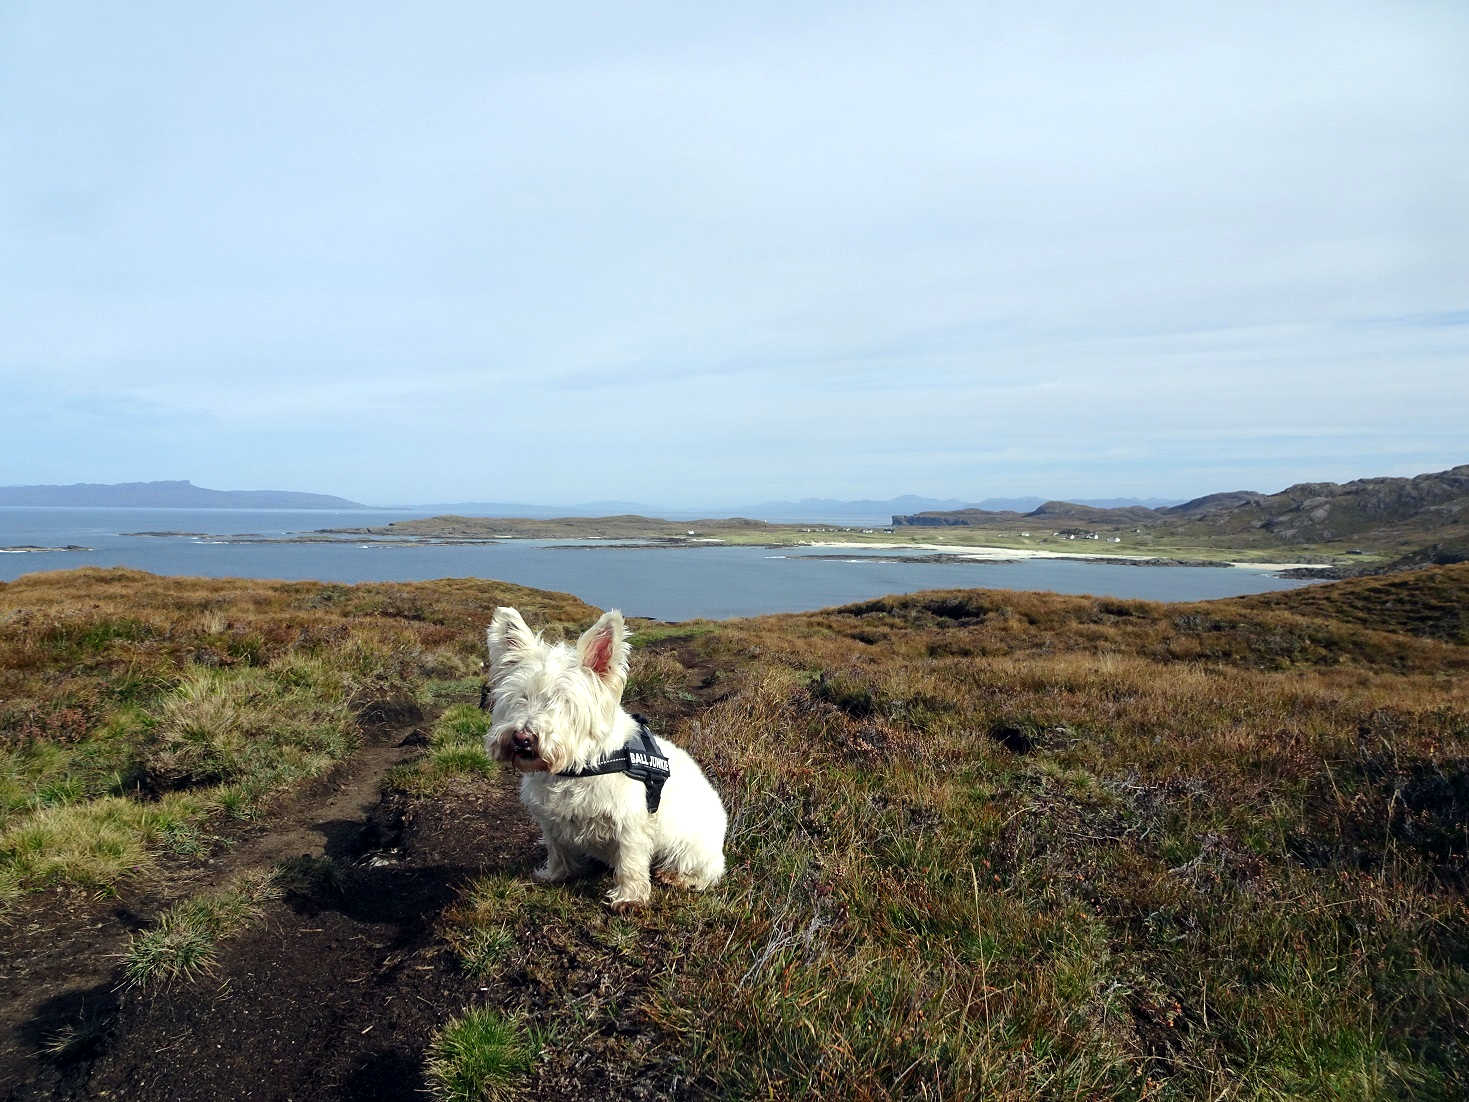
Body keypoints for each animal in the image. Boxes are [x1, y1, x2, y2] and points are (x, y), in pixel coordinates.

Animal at [487, 605, 728, 916]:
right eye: (521, 697)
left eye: (564, 701)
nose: (522, 738)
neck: (578, 767)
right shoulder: (550, 818)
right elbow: (557, 847)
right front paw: (555, 874)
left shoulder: (631, 822)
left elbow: (631, 862)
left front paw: (629, 898)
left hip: (691, 847)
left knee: (707, 872)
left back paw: (677, 876)